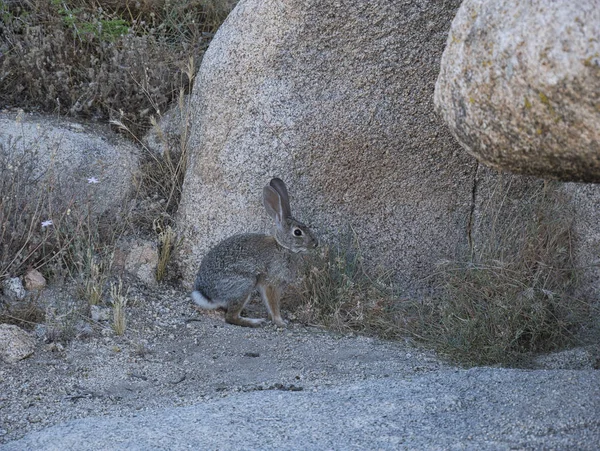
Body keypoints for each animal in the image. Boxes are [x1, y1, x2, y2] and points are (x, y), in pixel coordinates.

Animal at [192, 177, 318, 328]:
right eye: (297, 232)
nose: (316, 243)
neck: (282, 247)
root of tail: (206, 294)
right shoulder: (272, 282)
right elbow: (273, 304)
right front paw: (280, 322)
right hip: (244, 284)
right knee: (230, 317)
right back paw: (255, 322)